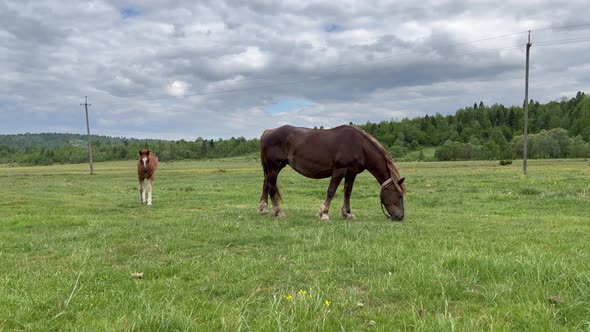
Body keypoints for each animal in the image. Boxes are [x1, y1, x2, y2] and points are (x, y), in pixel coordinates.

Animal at [260, 124, 408, 220]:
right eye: (399, 195)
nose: (400, 216)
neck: (359, 147)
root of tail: (268, 132)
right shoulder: (339, 170)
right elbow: (331, 191)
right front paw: (324, 213)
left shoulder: (351, 173)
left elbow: (347, 192)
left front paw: (347, 214)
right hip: (274, 167)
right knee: (271, 187)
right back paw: (278, 212)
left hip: (271, 169)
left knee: (266, 184)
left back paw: (264, 209)